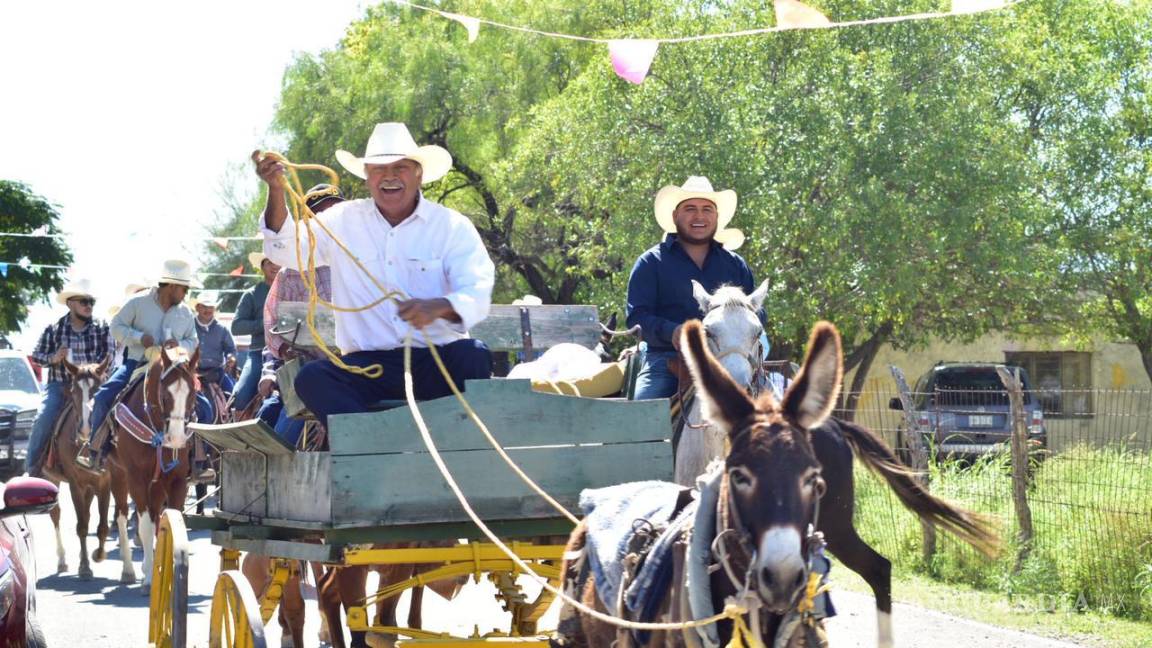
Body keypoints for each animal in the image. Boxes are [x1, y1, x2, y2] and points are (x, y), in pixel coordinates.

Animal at [43, 355, 111, 576]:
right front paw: (85, 567)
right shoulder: (75, 484)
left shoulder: (105, 482)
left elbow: (102, 525)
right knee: (55, 513)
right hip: (51, 479)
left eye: (99, 388)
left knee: (87, 514)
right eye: (73, 391)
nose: (85, 428)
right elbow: (81, 526)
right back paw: (62, 559)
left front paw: (98, 555)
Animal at [107, 348, 199, 585]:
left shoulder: (177, 481)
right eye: (165, 395)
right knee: (122, 515)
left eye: (193, 394)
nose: (176, 439)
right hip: (118, 474)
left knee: (156, 514)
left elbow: (172, 522)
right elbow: (145, 525)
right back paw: (128, 570)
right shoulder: (136, 479)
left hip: (157, 484)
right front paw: (148, 574)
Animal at [557, 318, 999, 645]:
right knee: (877, 568)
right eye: (711, 330)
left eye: (756, 332)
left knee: (878, 568)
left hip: (835, 527)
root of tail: (835, 424)